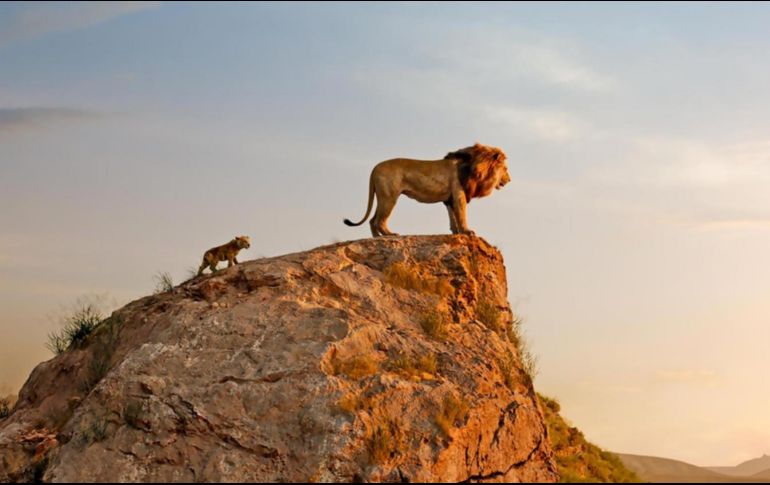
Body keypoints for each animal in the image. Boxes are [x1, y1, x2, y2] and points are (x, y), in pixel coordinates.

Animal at [343, 143, 510, 237]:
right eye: (505, 169)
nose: (509, 180)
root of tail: (374, 168)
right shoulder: (459, 194)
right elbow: (461, 215)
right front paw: (467, 232)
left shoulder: (450, 198)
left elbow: (453, 217)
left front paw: (456, 232)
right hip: (390, 197)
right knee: (379, 220)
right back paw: (390, 235)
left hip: (382, 197)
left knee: (372, 220)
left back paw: (378, 238)